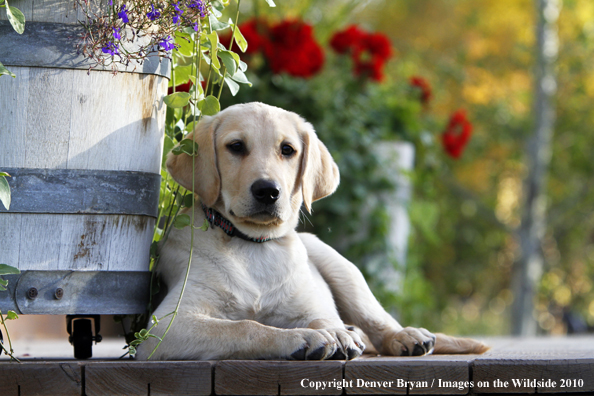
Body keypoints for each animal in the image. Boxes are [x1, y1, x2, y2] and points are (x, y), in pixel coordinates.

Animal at [138, 103, 486, 362]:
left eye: (287, 150)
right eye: (235, 147)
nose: (268, 191)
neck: (254, 245)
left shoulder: (314, 303)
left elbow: (324, 318)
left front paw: (335, 333)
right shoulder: (167, 327)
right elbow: (245, 327)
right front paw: (303, 339)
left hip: (339, 265)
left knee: (376, 320)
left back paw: (404, 335)